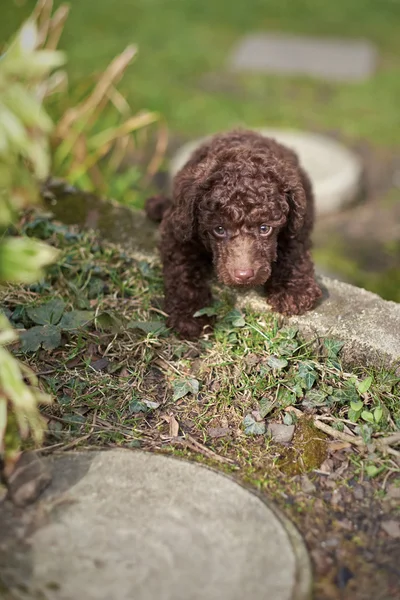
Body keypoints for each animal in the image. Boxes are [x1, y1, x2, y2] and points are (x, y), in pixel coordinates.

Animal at [146, 129, 322, 340]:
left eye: (265, 228)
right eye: (219, 229)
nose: (244, 276)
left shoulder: (298, 224)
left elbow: (294, 248)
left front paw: (293, 290)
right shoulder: (178, 231)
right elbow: (182, 271)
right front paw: (189, 316)